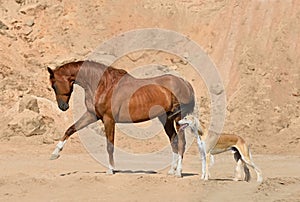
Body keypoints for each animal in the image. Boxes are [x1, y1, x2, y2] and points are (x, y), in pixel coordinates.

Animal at [47, 60, 195, 177]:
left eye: (54, 85)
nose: (63, 106)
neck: (102, 85)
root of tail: (185, 83)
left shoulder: (108, 119)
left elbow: (109, 146)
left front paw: (111, 169)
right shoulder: (91, 115)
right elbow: (70, 129)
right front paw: (55, 153)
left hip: (178, 118)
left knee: (181, 142)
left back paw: (178, 172)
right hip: (166, 119)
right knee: (174, 140)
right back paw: (172, 171)